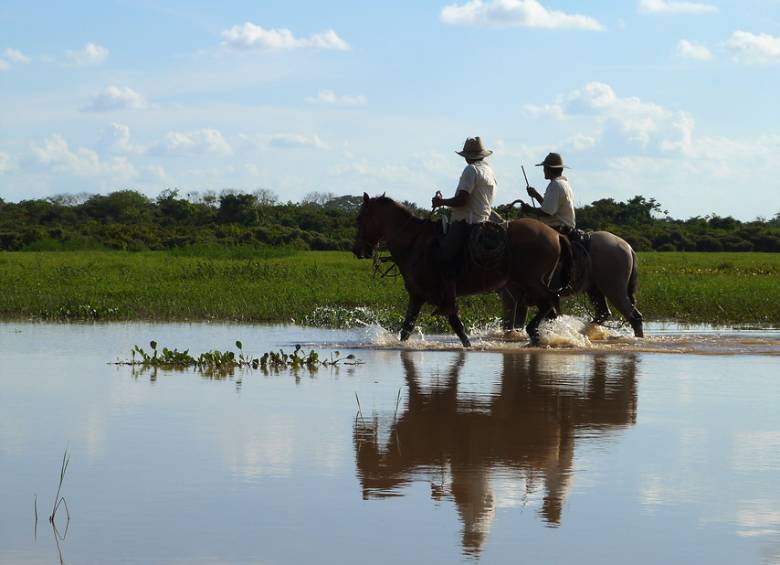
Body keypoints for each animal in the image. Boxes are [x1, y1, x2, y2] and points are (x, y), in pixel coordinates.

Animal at [350, 192, 568, 346]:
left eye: (359, 218)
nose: (358, 249)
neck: (414, 243)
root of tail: (556, 234)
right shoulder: (417, 296)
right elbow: (406, 329)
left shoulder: (441, 296)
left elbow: (457, 326)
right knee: (550, 308)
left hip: (531, 281)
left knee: (550, 300)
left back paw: (536, 332)